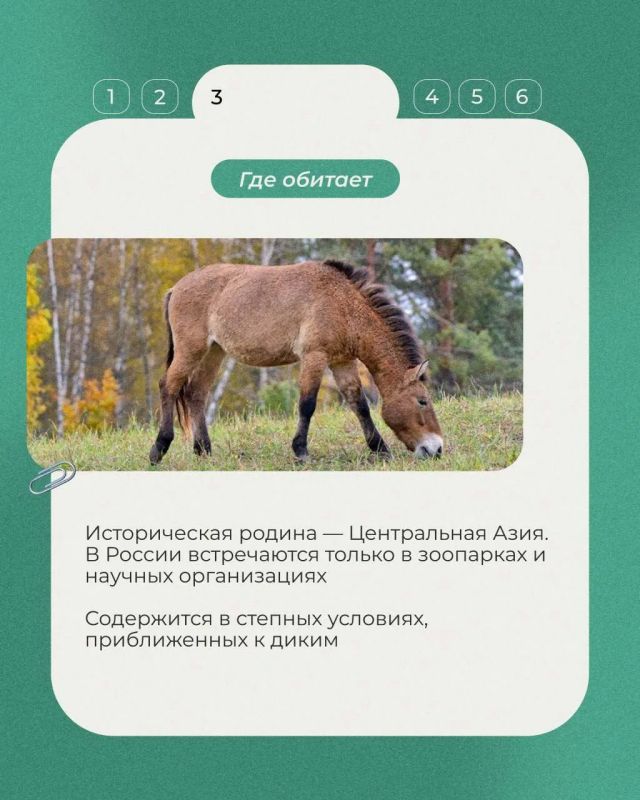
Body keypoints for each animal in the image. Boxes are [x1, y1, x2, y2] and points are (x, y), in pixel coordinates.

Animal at [149, 259, 443, 465]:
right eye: (422, 401)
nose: (437, 448)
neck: (342, 304)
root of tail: (176, 288)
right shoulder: (314, 357)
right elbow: (307, 404)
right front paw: (301, 451)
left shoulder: (342, 361)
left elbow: (359, 405)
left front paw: (380, 449)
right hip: (191, 350)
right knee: (168, 386)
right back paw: (159, 449)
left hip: (214, 352)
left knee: (196, 393)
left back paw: (204, 451)